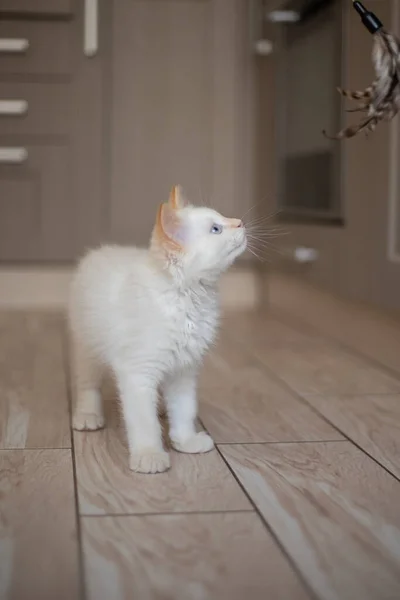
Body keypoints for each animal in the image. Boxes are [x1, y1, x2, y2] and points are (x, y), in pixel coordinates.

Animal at [69, 186, 247, 474]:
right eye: (216, 229)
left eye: (222, 218)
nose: (241, 222)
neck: (186, 297)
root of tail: (98, 252)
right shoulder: (137, 372)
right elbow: (144, 422)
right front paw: (149, 455)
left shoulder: (185, 369)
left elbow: (184, 409)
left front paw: (185, 441)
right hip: (87, 347)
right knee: (87, 384)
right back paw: (88, 415)